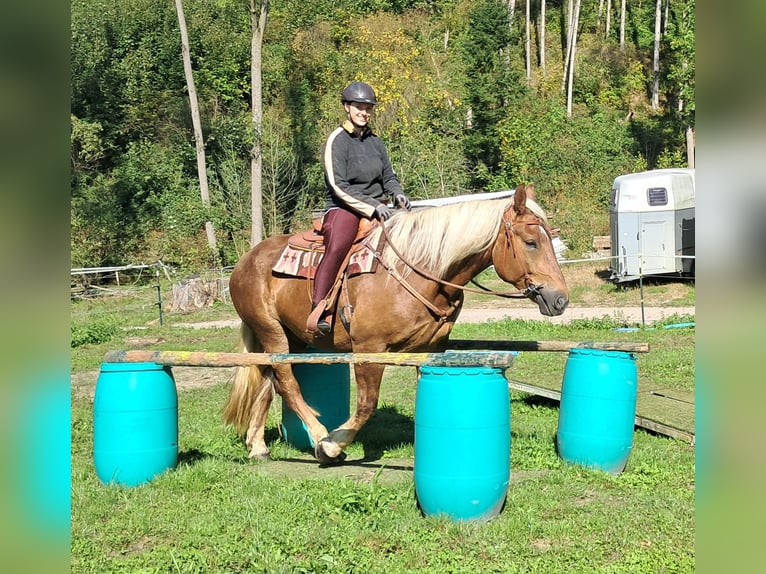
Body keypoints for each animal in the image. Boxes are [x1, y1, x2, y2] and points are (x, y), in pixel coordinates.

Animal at [222, 184, 568, 468]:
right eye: (531, 242)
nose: (560, 299)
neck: (420, 270)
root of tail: (244, 261)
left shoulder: (432, 349)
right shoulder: (368, 349)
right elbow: (366, 405)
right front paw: (334, 444)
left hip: (290, 337)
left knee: (269, 383)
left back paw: (258, 446)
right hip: (272, 333)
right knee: (287, 384)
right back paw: (320, 438)